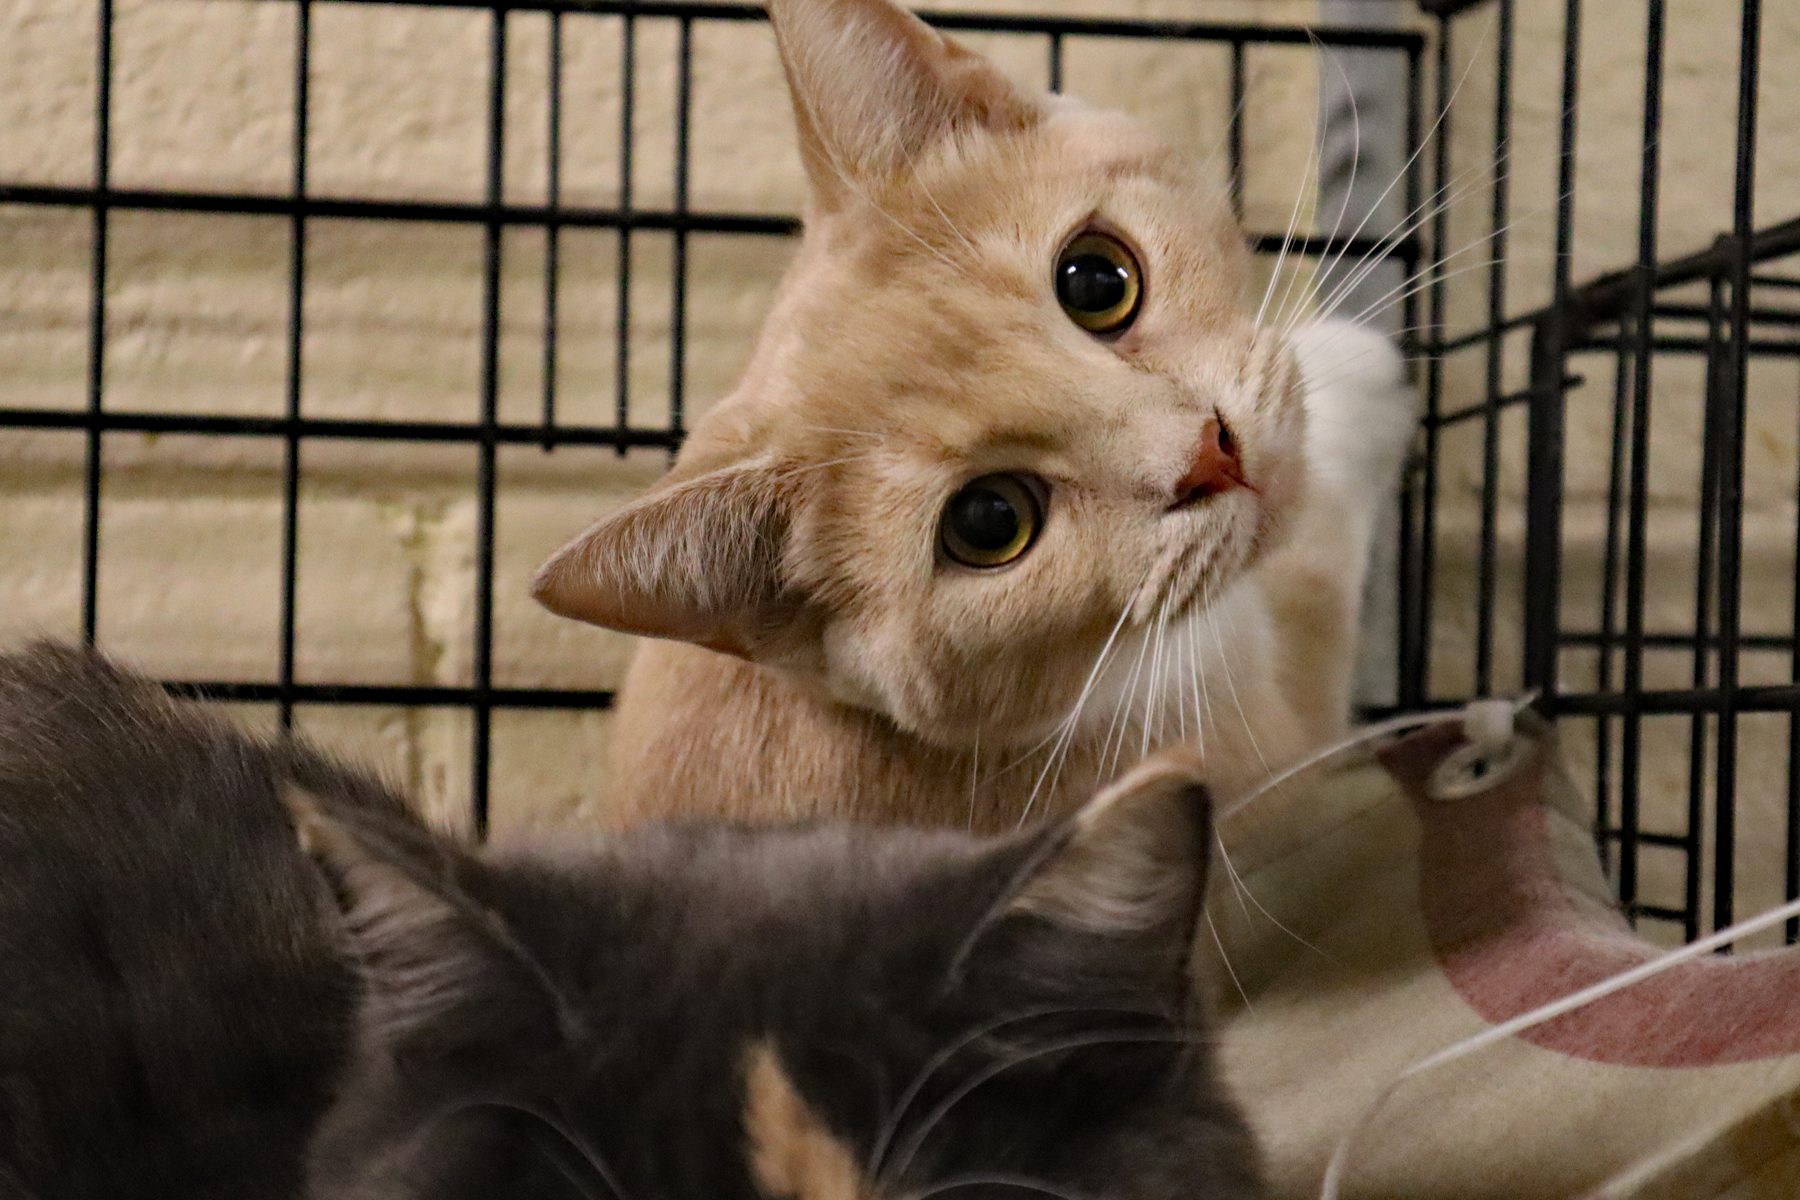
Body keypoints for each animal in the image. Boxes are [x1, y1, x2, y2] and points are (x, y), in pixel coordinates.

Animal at [532, 0, 1418, 831]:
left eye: (1096, 280)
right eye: (990, 520)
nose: (1211, 452)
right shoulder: (1263, 754)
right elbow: (1314, 574)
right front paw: (1357, 367)